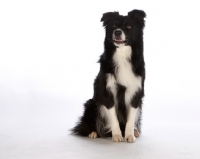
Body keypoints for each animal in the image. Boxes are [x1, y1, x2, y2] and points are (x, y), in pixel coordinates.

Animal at [71, 9, 146, 142]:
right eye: (114, 26)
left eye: (129, 26)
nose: (117, 32)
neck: (122, 55)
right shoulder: (107, 92)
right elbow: (113, 116)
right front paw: (116, 135)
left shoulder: (136, 93)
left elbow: (131, 118)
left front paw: (129, 135)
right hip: (91, 104)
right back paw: (93, 132)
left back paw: (135, 131)